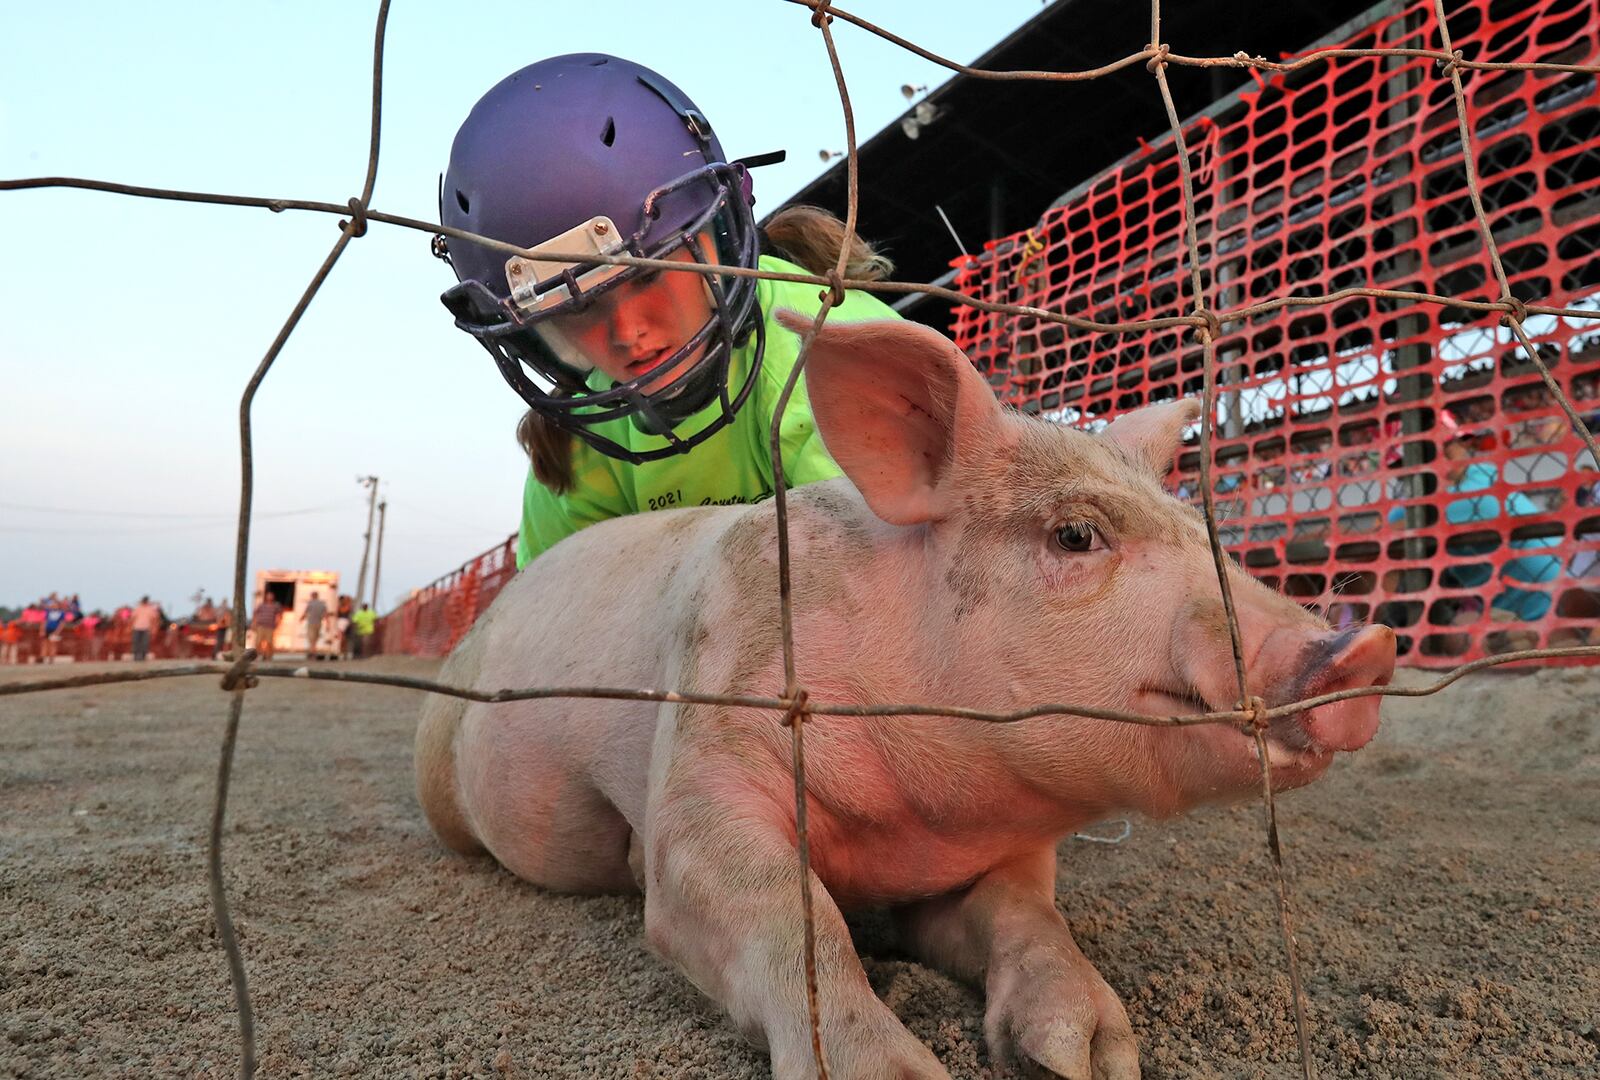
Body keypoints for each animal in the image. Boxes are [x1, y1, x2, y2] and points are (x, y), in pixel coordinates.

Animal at [409, 315, 1388, 1080]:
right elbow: (787, 913)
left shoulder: (998, 858)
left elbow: (1030, 915)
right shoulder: (705, 755)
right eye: (1076, 535)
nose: (1362, 648)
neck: (915, 825)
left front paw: (1091, 1057)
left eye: (1197, 525)